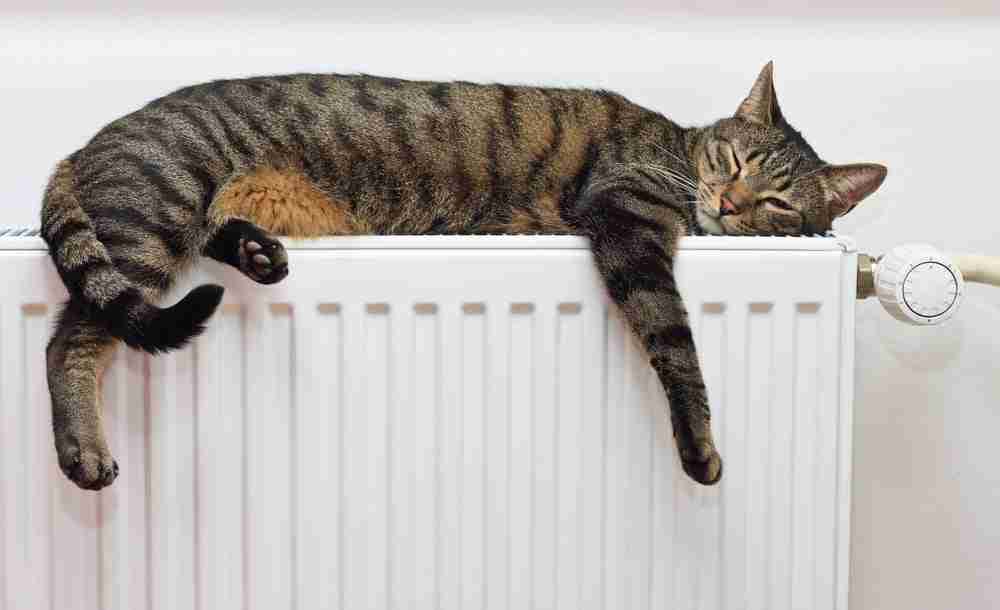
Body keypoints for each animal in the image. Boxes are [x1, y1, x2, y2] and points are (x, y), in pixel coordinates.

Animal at [41, 63, 884, 490]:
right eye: (733, 160)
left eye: (778, 201)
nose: (729, 201)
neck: (680, 154)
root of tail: (83, 146)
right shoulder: (626, 223)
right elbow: (677, 347)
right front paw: (700, 445)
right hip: (152, 221)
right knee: (69, 340)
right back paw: (83, 452)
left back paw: (254, 253)